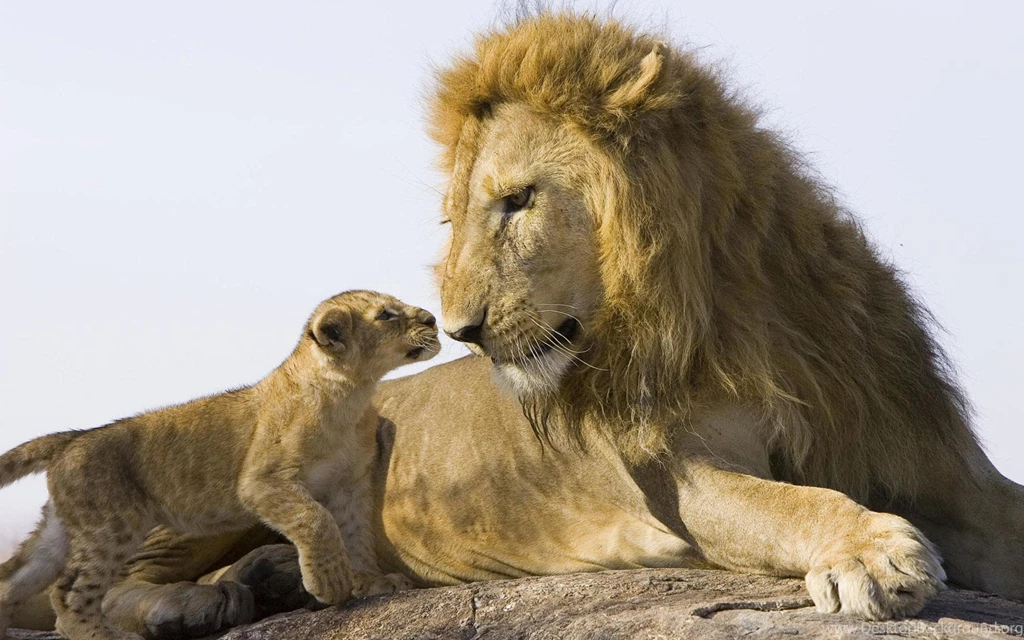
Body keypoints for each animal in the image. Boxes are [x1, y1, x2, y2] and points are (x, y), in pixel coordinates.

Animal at [7, 12, 1024, 637]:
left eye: (519, 201)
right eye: (455, 216)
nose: (458, 329)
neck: (735, 311)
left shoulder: (935, 462)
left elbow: (999, 517)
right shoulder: (681, 481)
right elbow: (790, 502)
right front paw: (872, 552)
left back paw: (270, 583)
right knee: (80, 586)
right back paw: (192, 603)